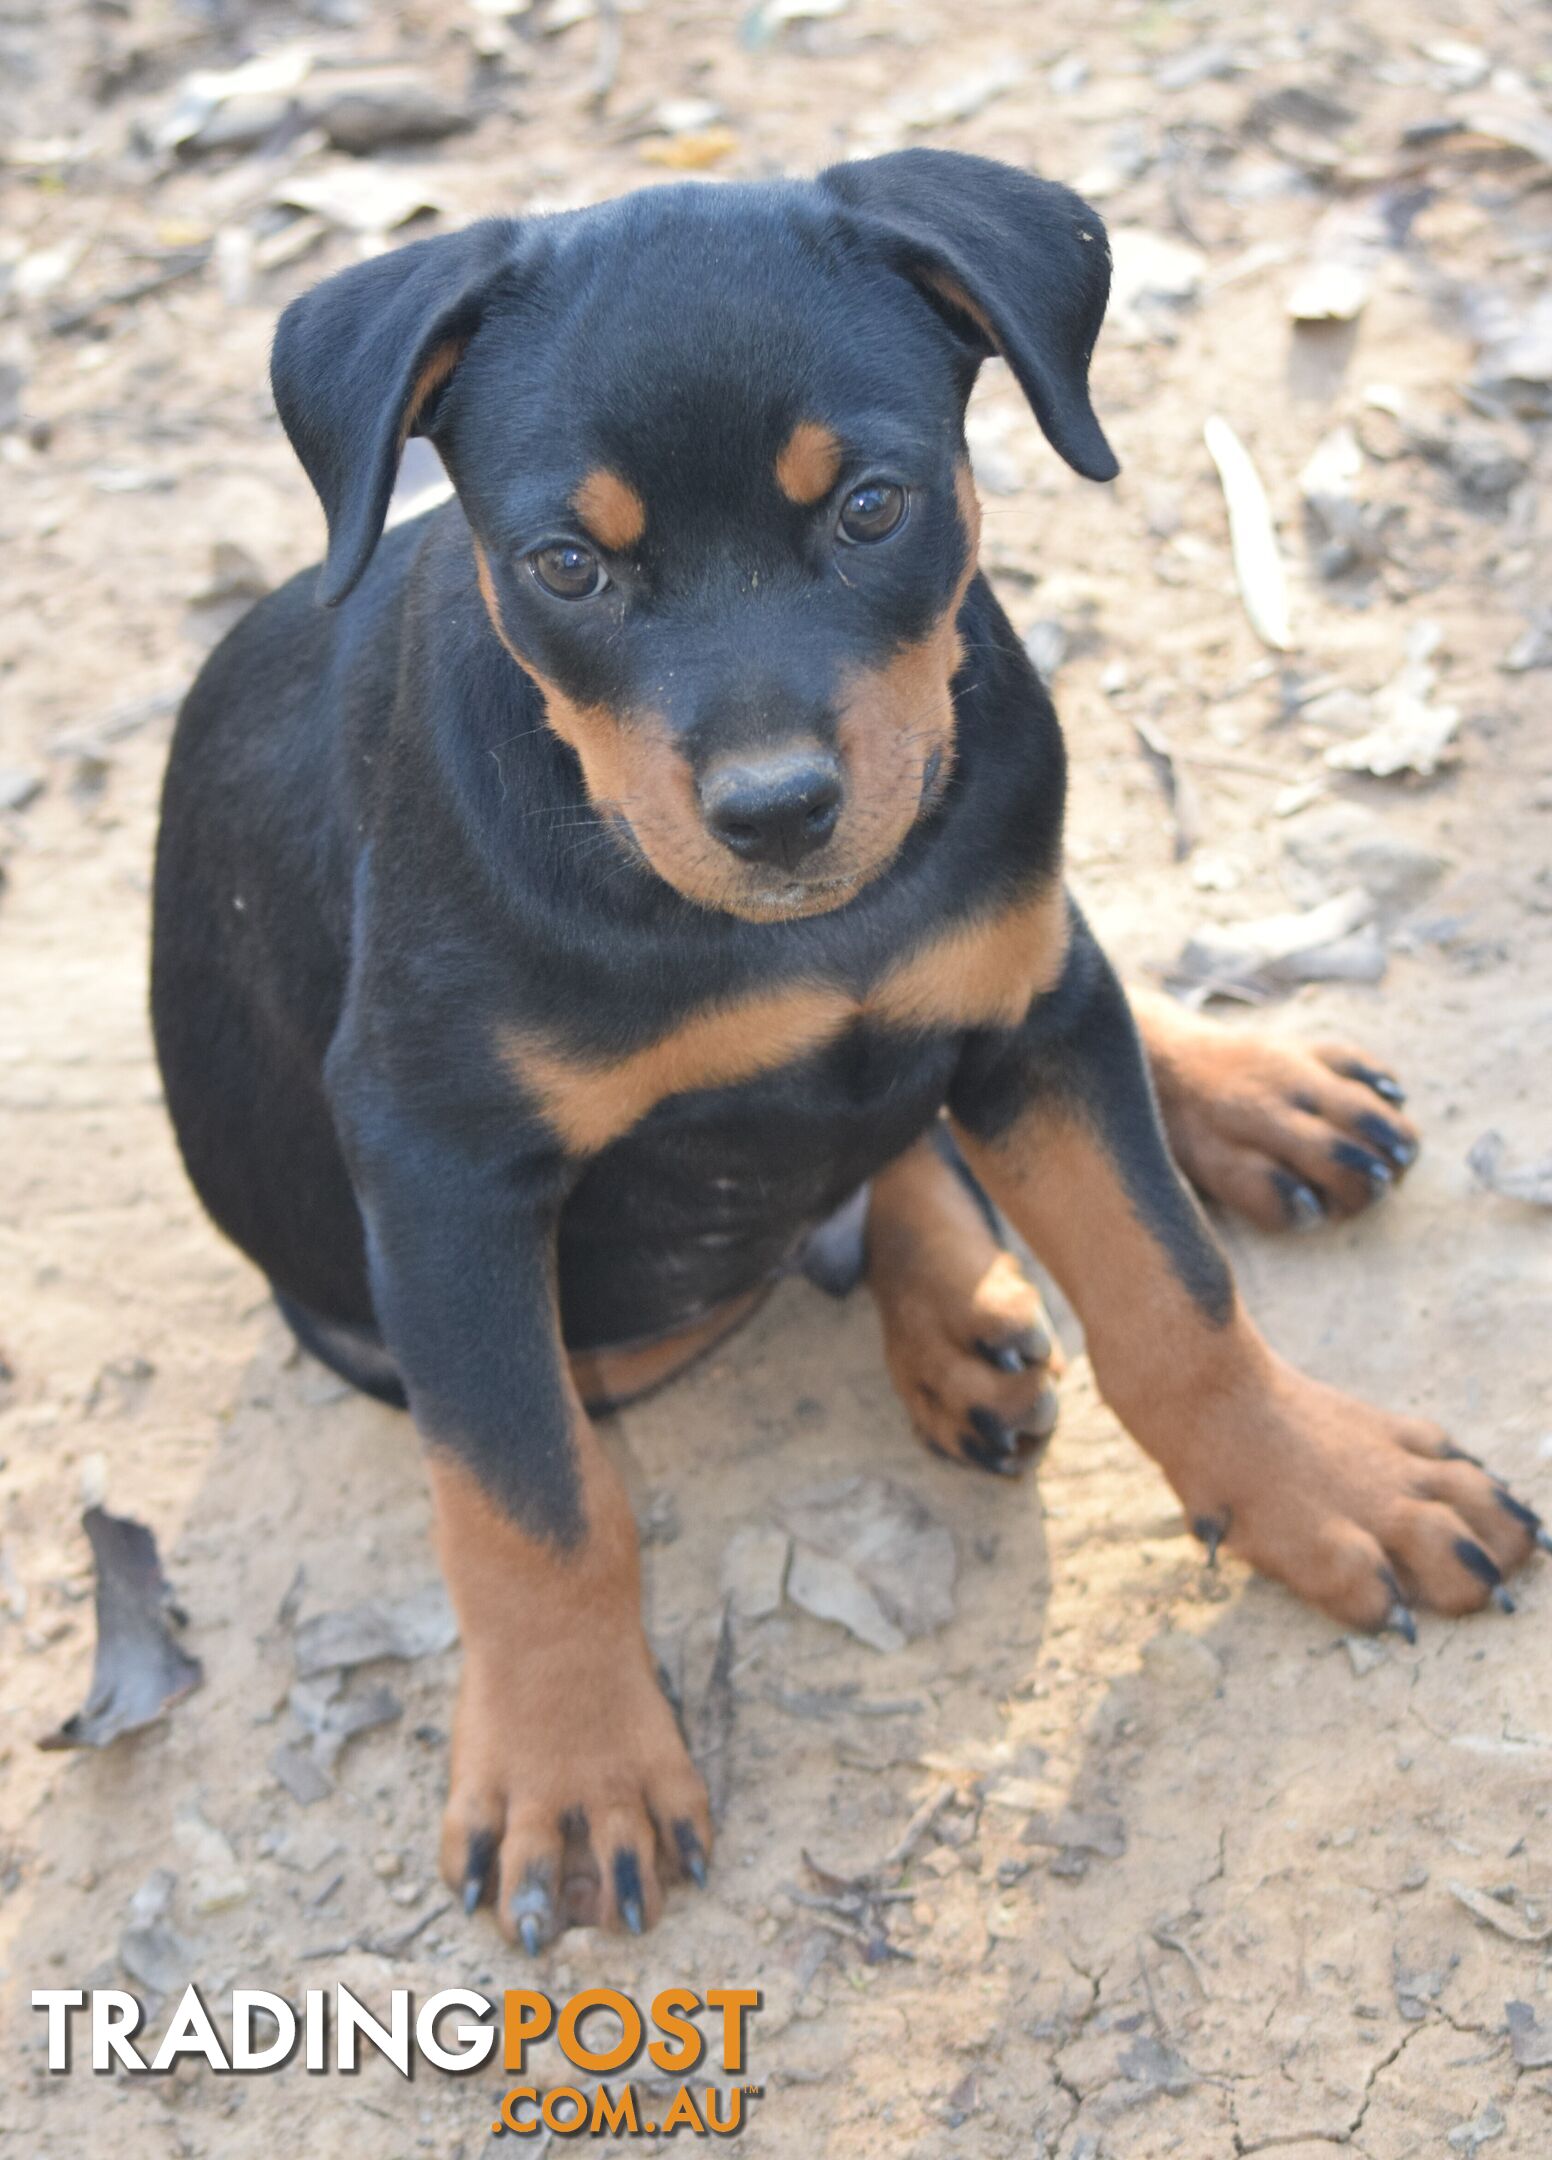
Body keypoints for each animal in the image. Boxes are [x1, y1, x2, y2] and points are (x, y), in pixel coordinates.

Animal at [152, 147, 1545, 1944]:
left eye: (871, 506)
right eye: (566, 566)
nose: (774, 813)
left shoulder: (1028, 1010)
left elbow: (1174, 1298)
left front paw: (1327, 1486)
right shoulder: (444, 1168)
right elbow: (531, 1502)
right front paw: (571, 1769)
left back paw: (1217, 1119)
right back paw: (963, 1298)